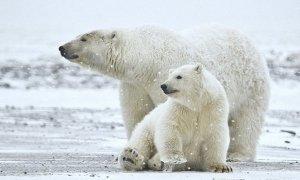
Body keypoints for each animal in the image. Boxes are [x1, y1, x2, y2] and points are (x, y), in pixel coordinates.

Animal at [59, 24, 270, 161]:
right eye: (79, 34)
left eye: (84, 37)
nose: (62, 47)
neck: (145, 61)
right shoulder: (135, 85)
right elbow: (137, 114)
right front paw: (133, 150)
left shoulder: (163, 76)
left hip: (250, 86)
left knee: (246, 121)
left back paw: (237, 155)